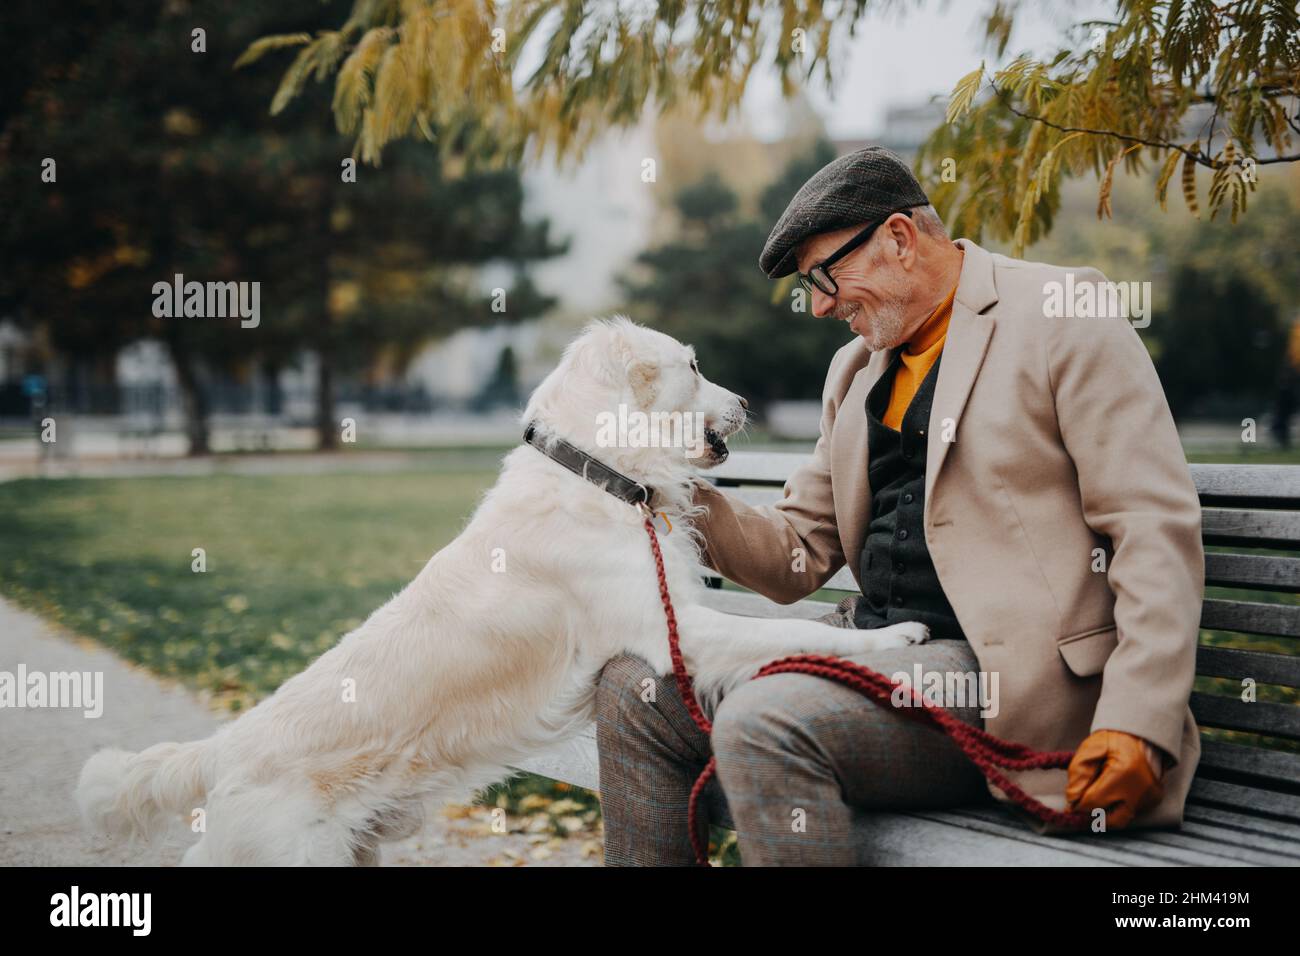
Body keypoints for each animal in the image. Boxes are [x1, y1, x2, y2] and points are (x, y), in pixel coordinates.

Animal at [76, 316, 930, 868]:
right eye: (691, 366)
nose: (748, 404)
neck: (598, 474)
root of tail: (220, 747)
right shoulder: (678, 630)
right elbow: (793, 633)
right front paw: (891, 639)